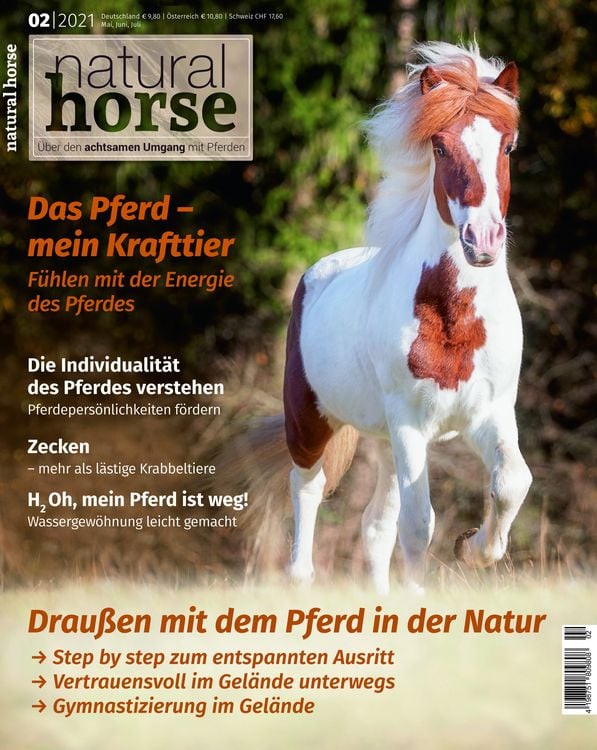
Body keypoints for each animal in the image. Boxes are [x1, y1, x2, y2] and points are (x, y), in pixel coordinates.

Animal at [282, 42, 532, 594]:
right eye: (439, 148)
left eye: (507, 148)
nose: (482, 241)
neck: (454, 321)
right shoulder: (411, 423)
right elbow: (419, 525)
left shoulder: (490, 414)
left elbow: (511, 482)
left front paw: (472, 547)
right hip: (312, 421)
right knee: (307, 490)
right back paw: (300, 578)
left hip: (381, 440)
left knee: (375, 525)